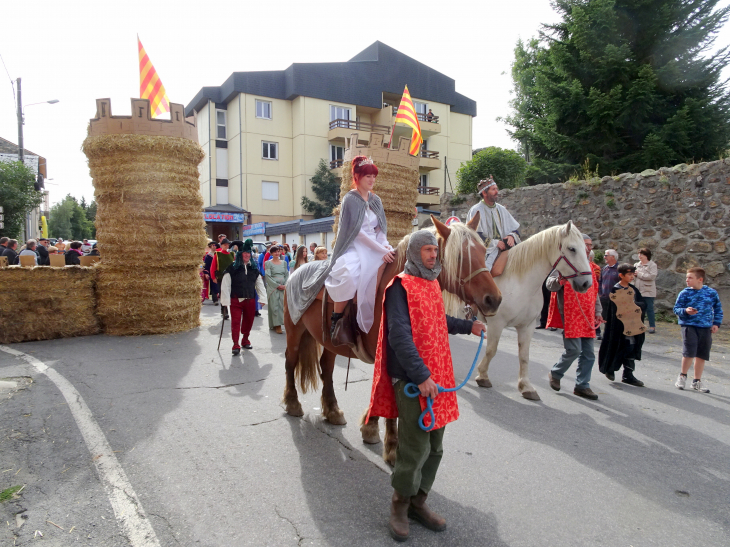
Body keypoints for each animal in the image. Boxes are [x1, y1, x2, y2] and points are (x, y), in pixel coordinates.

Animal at [280, 214, 500, 462]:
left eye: (484, 251)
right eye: (461, 257)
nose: (494, 299)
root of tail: (297, 271)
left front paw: (371, 426)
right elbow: (390, 397)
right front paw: (393, 446)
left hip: (328, 342)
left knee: (326, 368)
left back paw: (332, 410)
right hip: (295, 331)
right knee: (290, 362)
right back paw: (292, 403)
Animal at [466, 222, 592, 402]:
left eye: (585, 248)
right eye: (572, 249)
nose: (586, 283)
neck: (521, 281)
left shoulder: (528, 326)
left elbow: (524, 356)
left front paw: (526, 387)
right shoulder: (496, 323)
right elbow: (491, 350)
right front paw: (482, 376)